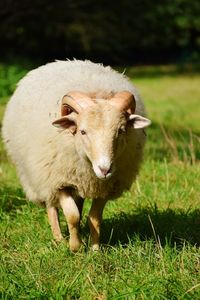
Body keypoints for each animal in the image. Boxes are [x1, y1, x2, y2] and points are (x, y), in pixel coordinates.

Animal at [2, 59, 151, 251]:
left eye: (121, 130)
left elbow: (94, 218)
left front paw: (95, 249)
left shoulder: (105, 186)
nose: (105, 169)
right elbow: (71, 215)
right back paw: (58, 239)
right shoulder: (60, 181)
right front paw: (75, 247)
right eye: (83, 131)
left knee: (78, 203)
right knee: (51, 206)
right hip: (41, 178)